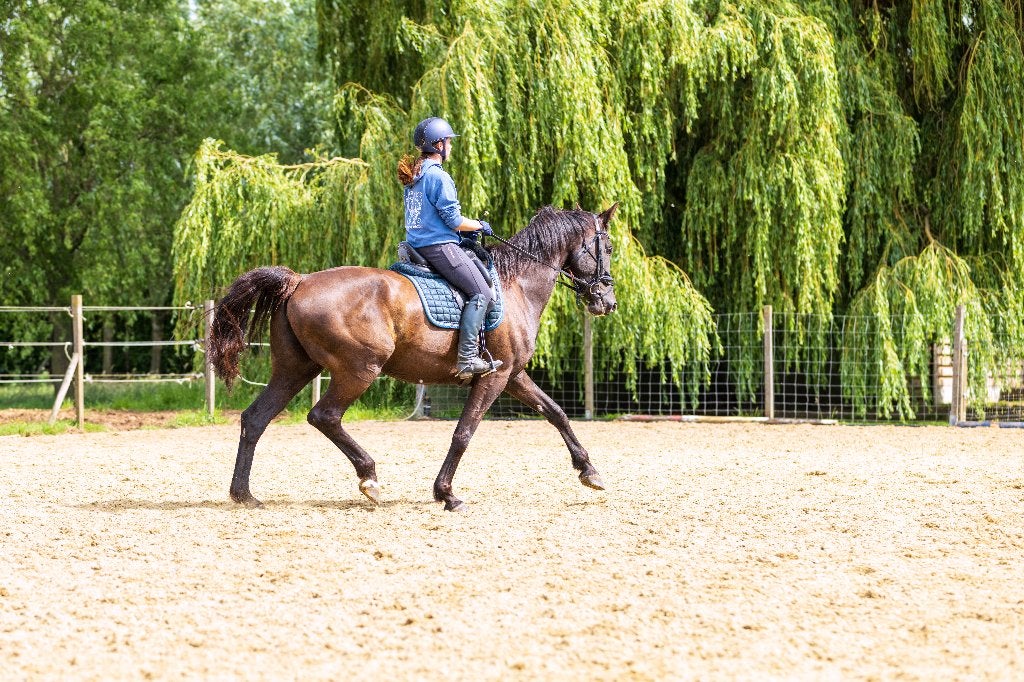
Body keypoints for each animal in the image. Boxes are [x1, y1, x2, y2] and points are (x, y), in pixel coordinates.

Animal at [208, 203, 619, 511]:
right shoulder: (493, 377)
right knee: (324, 416)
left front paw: (589, 472)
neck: (516, 284)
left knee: (255, 419)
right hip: (359, 370)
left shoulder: (513, 375)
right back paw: (369, 477)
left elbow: (556, 412)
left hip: (295, 370)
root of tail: (299, 281)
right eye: (609, 248)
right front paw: (447, 494)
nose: (608, 302)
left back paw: (244, 494)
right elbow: (463, 432)